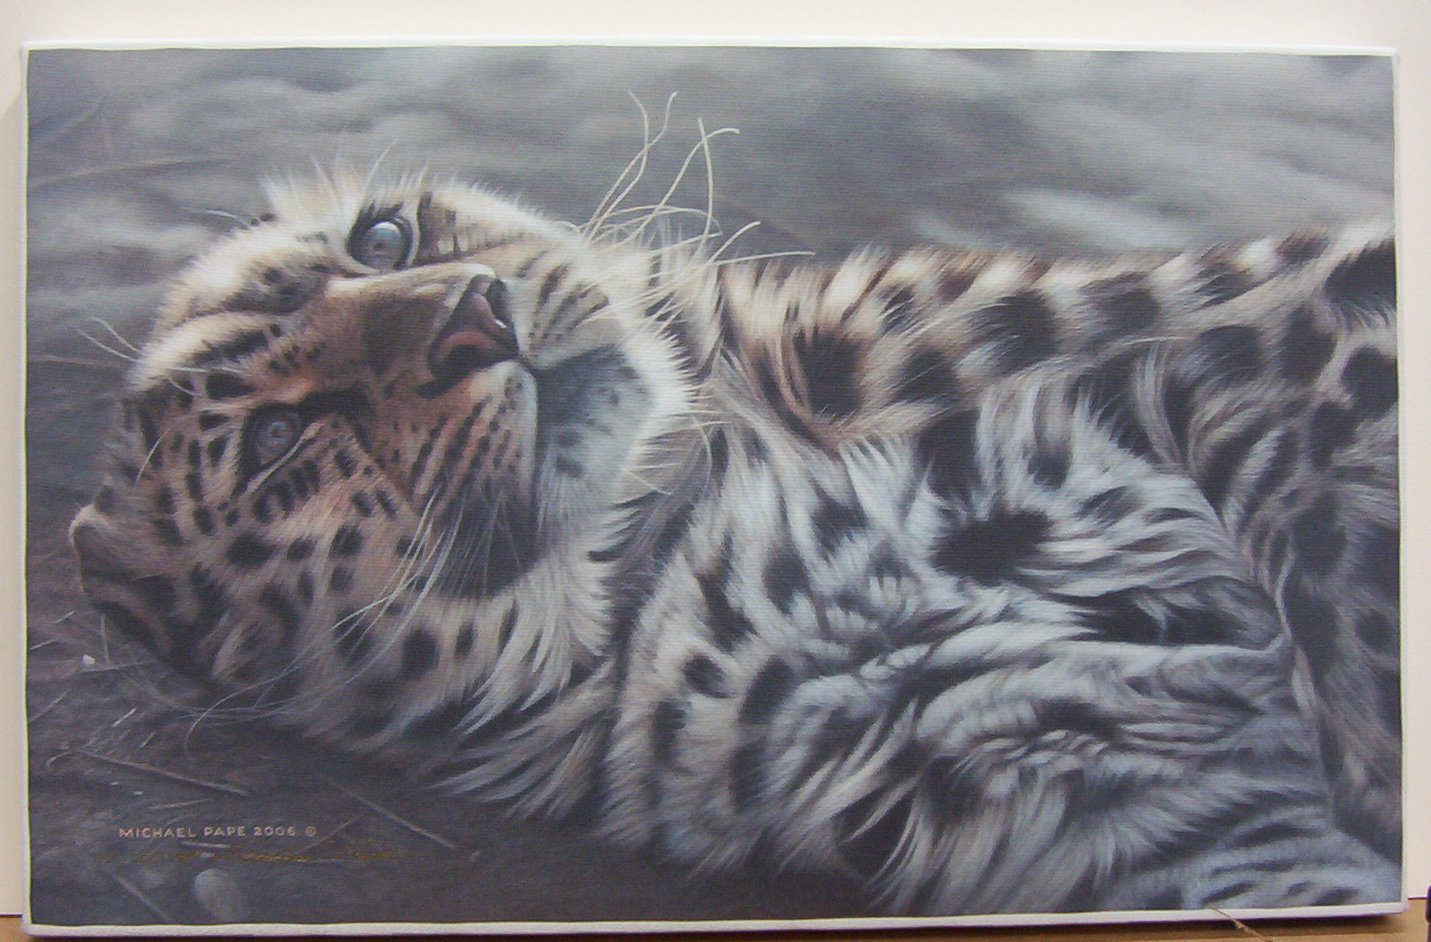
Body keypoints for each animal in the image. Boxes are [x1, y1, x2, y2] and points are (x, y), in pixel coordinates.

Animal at [67, 160, 1401, 917]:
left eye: (384, 240)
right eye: (278, 440)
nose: (472, 317)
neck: (682, 512)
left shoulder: (1230, 333)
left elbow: (1309, 488)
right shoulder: (1146, 804)